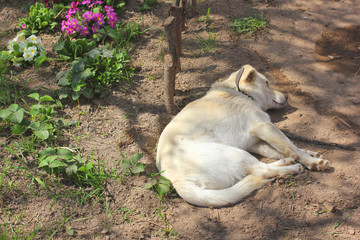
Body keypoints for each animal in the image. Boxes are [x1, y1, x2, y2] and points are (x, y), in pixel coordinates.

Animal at [156, 64, 330, 207]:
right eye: (267, 83)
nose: (287, 96)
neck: (241, 92)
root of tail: (178, 181)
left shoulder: (253, 142)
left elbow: (283, 149)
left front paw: (310, 153)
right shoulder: (264, 126)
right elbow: (290, 147)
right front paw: (314, 162)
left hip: (240, 153)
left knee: (261, 167)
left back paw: (286, 162)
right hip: (234, 153)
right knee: (261, 171)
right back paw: (293, 168)